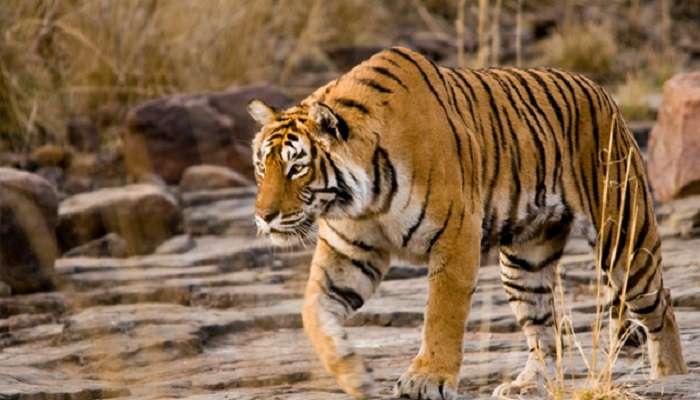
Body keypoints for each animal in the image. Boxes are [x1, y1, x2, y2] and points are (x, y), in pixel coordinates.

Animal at [245, 47, 684, 400]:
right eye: (261, 166)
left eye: (297, 168)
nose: (263, 217)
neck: (361, 201)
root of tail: (601, 90)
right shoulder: (349, 253)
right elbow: (314, 313)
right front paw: (355, 374)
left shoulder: (455, 235)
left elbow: (442, 313)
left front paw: (426, 380)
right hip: (524, 262)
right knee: (545, 329)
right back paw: (528, 385)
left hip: (624, 236)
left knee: (660, 304)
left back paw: (669, 376)